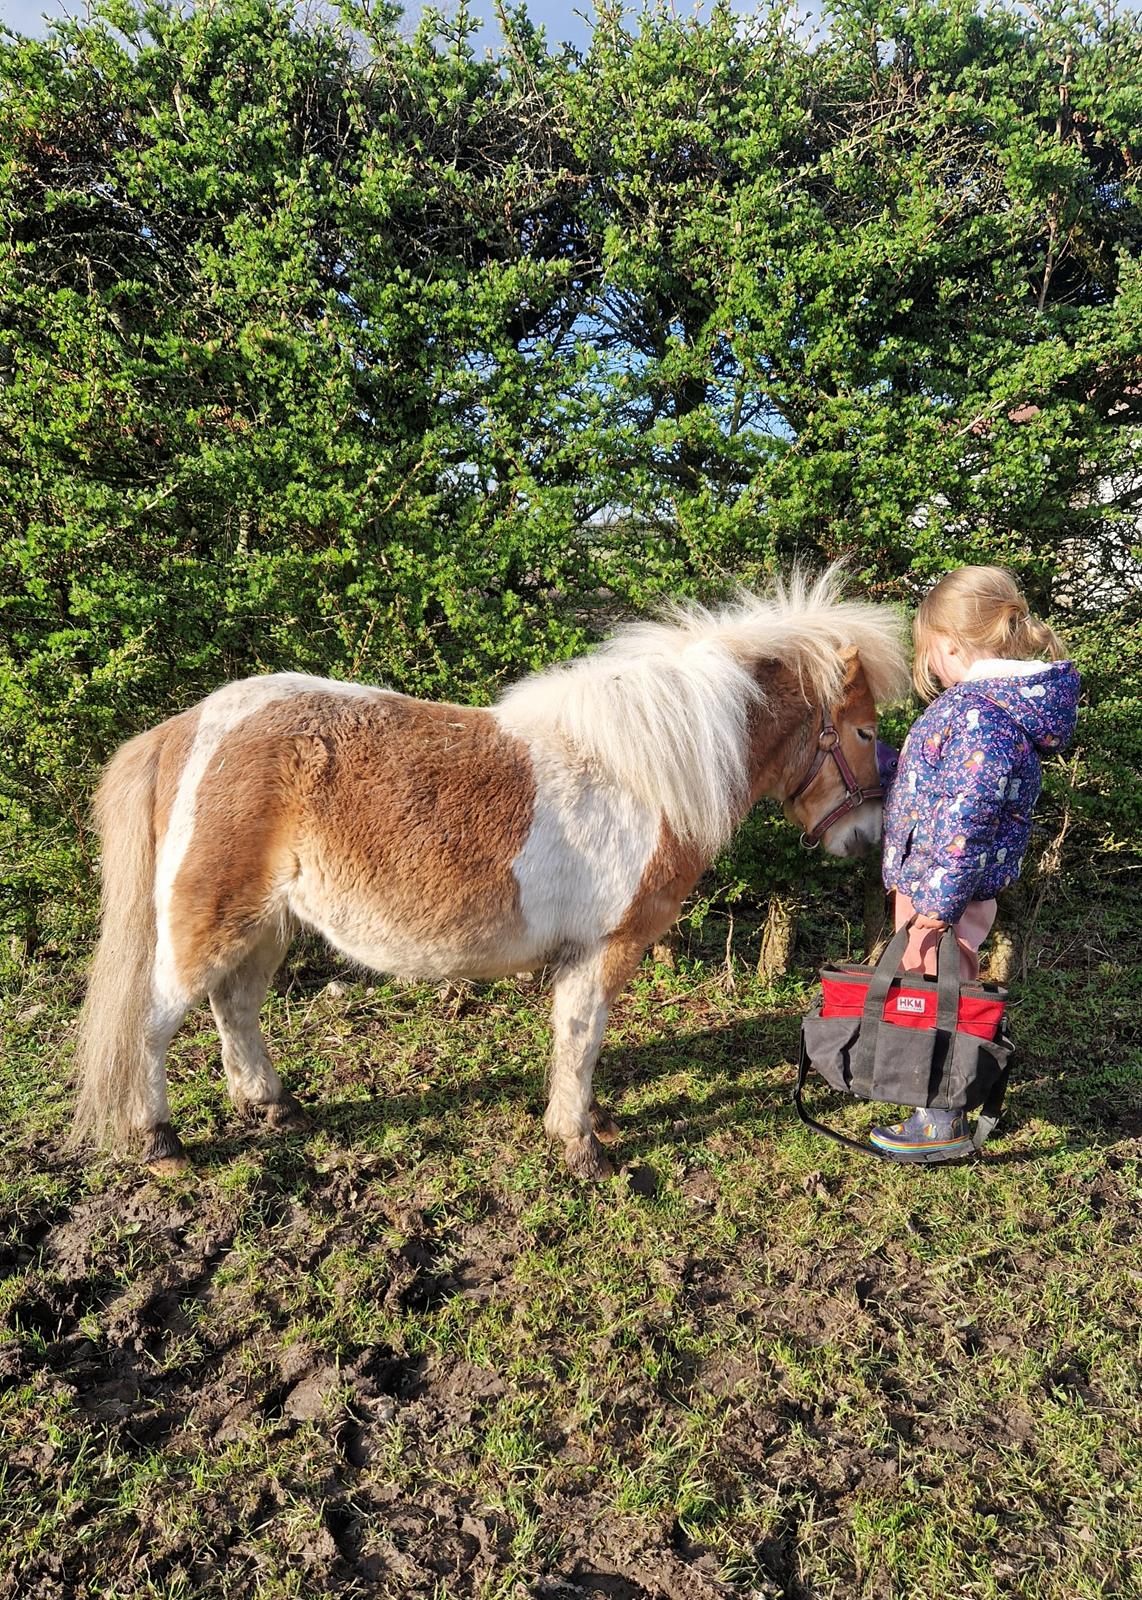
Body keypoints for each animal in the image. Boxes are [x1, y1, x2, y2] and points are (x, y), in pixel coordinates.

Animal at [73, 569, 908, 1184]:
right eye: (865, 730)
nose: (870, 837)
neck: (644, 775)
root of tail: (188, 726)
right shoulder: (605, 948)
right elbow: (582, 1035)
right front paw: (580, 1145)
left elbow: (578, 1040)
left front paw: (590, 1122)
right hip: (210, 920)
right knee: (155, 1020)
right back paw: (160, 1141)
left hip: (267, 922)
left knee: (235, 1006)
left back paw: (272, 1109)